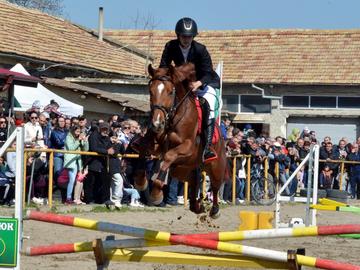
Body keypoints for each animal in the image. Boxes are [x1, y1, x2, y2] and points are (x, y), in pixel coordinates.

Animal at [132, 62, 228, 218]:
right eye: (150, 92)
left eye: (171, 92)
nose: (157, 124)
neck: (172, 117)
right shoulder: (155, 146)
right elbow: (143, 148)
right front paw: (141, 181)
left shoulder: (187, 147)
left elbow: (168, 156)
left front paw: (156, 194)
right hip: (182, 170)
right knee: (194, 181)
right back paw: (197, 206)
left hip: (216, 167)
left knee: (215, 186)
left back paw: (214, 211)